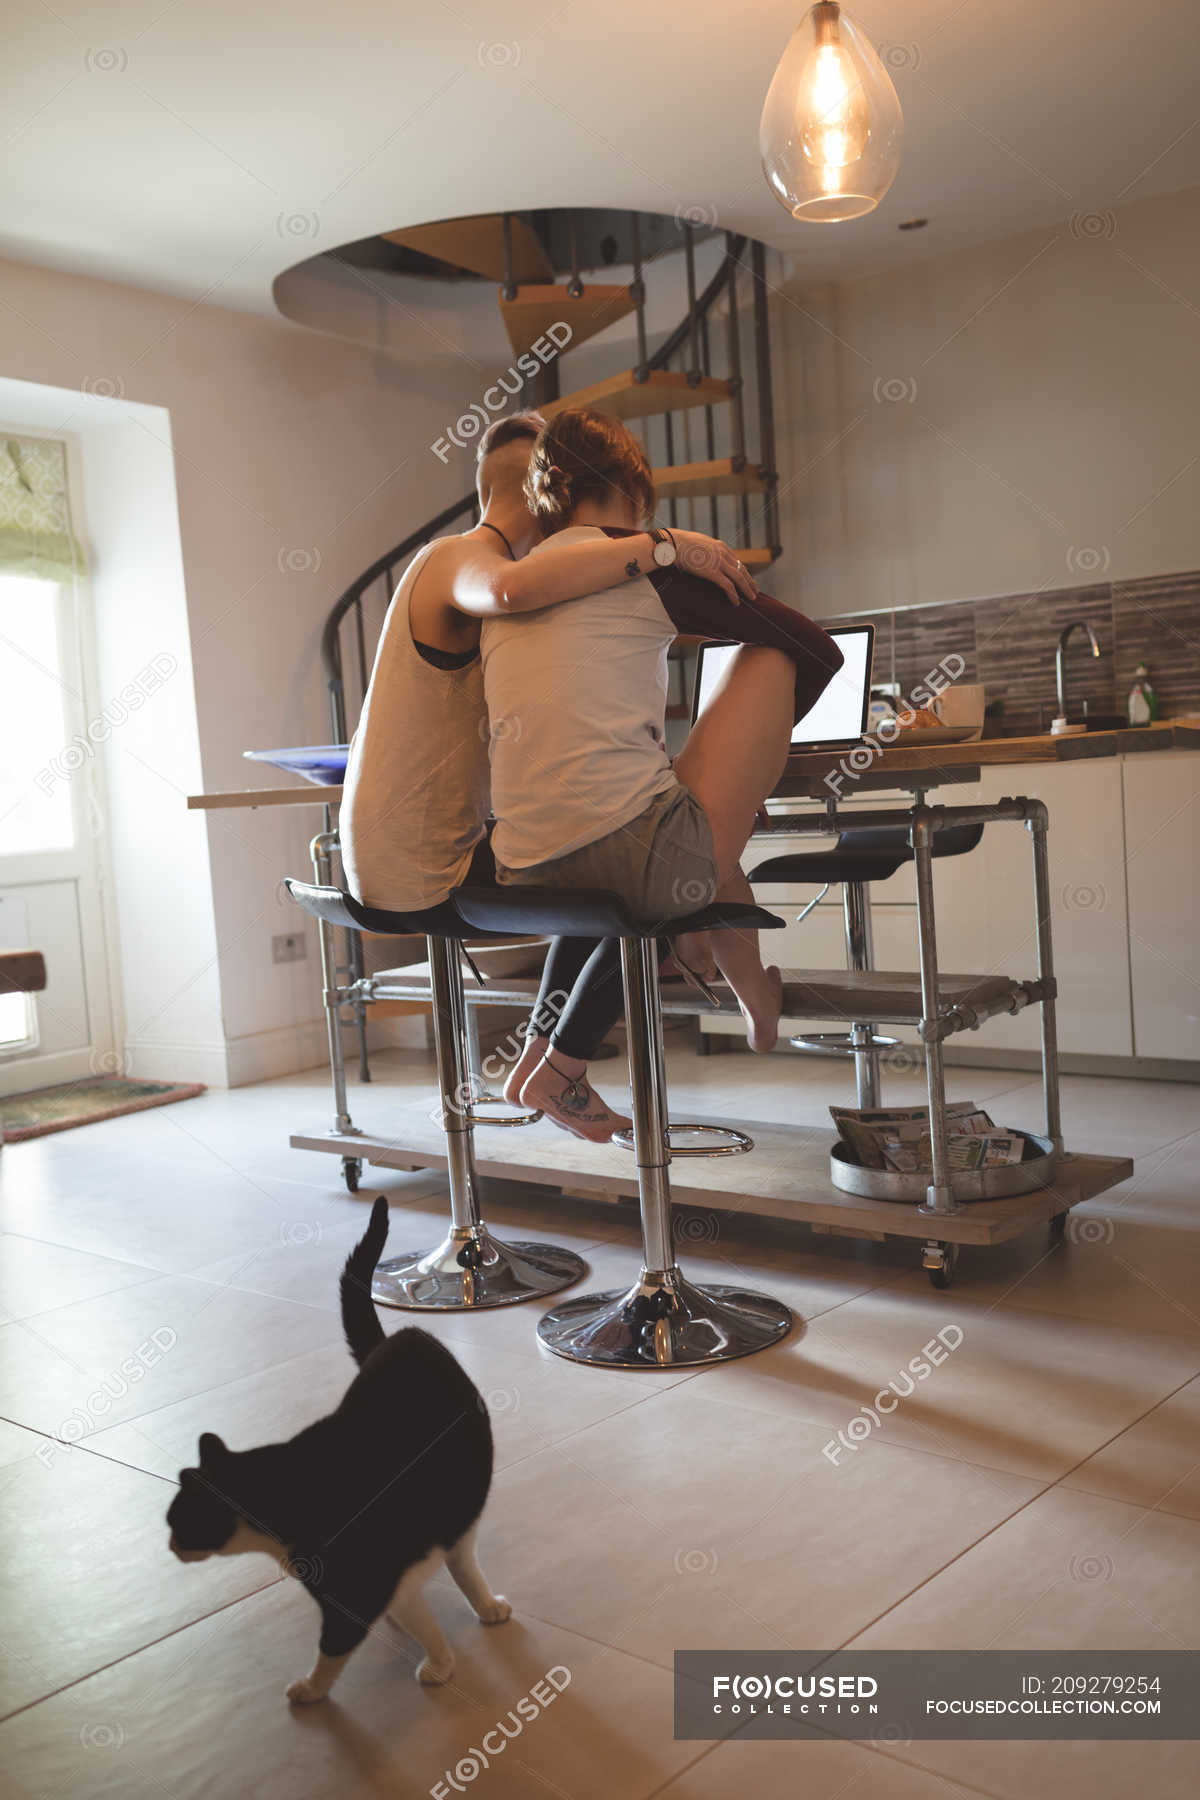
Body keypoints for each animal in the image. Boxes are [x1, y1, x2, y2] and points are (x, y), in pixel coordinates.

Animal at [165, 1195, 510, 1699]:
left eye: (177, 1521)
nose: (170, 1546)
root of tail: (400, 1337)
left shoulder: (355, 1588)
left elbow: (334, 1648)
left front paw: (309, 1692)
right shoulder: (391, 1582)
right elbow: (421, 1619)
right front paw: (441, 1660)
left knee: (463, 1561)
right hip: (459, 1509)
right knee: (464, 1559)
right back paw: (485, 1606)